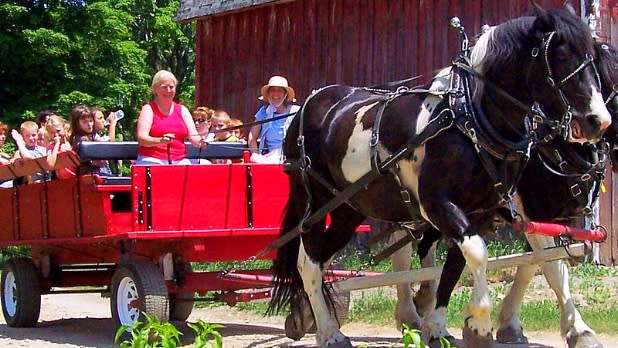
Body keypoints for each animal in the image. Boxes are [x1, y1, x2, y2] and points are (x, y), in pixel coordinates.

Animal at [268, 3, 608, 348]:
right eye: (559, 55)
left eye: (594, 60)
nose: (599, 121)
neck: (469, 119)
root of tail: (308, 106)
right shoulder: (439, 204)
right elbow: (484, 255)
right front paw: (479, 326)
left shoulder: (480, 213)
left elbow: (462, 265)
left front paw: (439, 327)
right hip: (315, 202)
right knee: (308, 262)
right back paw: (329, 331)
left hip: (347, 210)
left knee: (323, 258)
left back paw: (313, 316)